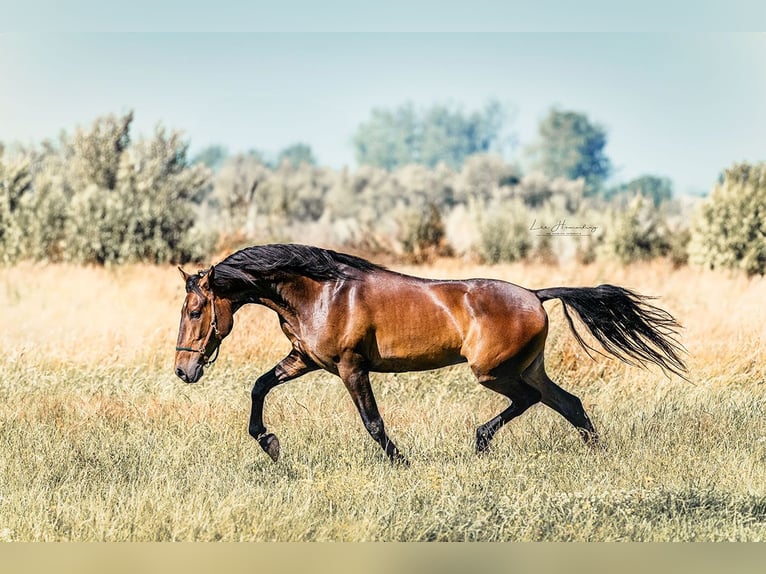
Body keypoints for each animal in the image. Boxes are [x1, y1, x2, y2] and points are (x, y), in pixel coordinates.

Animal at [176, 242, 688, 464]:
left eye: (196, 309)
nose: (184, 370)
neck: (321, 292)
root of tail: (535, 295)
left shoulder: (350, 368)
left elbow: (373, 421)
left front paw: (399, 462)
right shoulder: (304, 360)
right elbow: (259, 386)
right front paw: (269, 443)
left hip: (493, 371)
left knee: (531, 401)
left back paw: (481, 441)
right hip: (527, 368)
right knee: (568, 403)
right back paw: (595, 452)